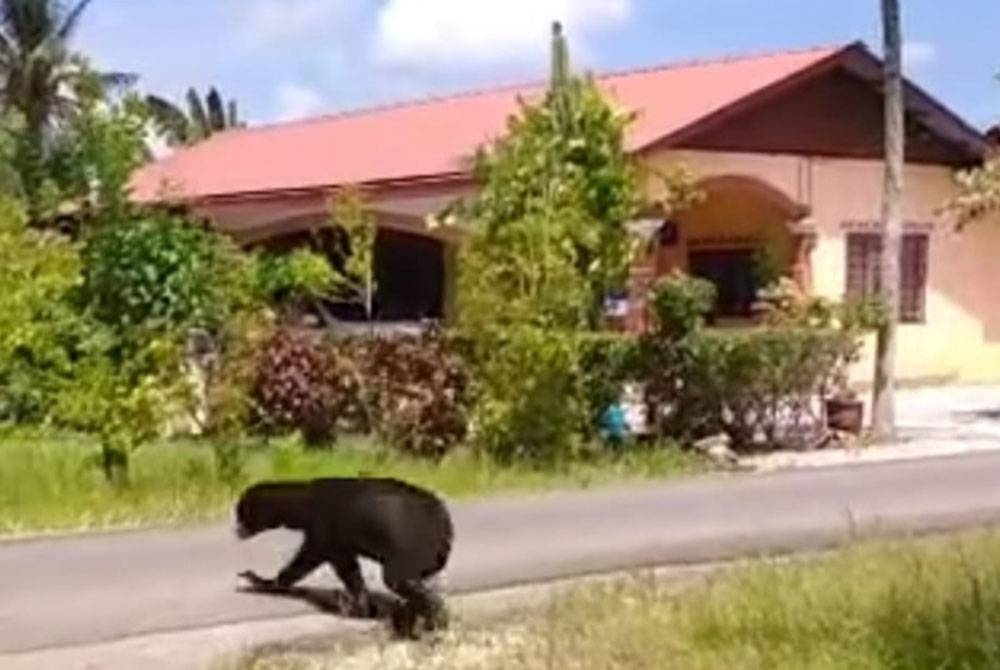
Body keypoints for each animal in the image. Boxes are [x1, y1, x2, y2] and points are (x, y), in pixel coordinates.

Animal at [234, 478, 454, 640]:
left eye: (241, 513)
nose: (236, 530)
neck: (303, 503)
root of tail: (444, 526)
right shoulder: (338, 540)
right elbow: (350, 570)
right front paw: (362, 607)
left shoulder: (324, 531)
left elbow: (308, 562)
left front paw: (261, 580)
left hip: (412, 547)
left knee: (400, 580)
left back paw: (434, 621)